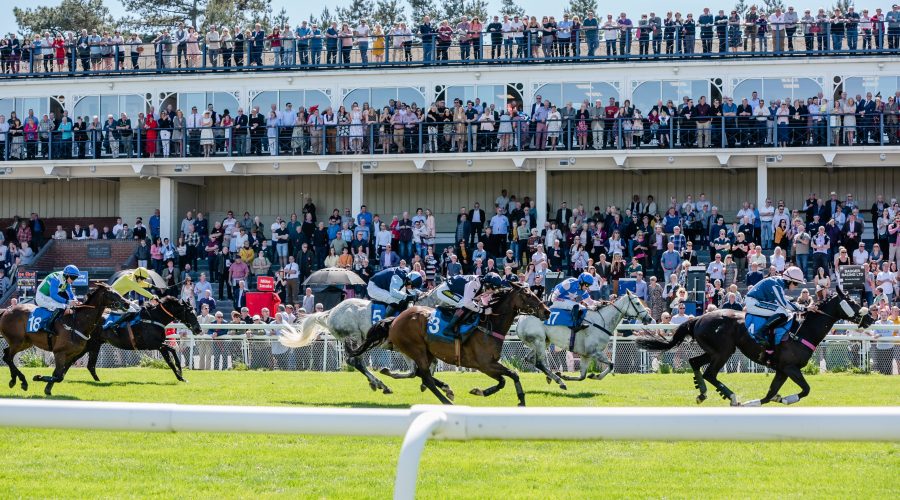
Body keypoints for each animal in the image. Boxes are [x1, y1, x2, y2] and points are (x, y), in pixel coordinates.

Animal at [0, 284, 130, 396]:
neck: (78, 322)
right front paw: (38, 377)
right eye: (111, 293)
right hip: (18, 341)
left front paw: (47, 389)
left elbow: (59, 375)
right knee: (7, 357)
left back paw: (14, 380)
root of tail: (6, 311)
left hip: (25, 342)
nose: (127, 304)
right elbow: (58, 376)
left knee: (7, 355)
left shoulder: (71, 355)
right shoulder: (59, 352)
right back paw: (23, 381)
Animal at [64, 296, 203, 382]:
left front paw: (180, 375)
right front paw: (180, 374)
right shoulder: (154, 344)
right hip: (90, 344)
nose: (199, 329)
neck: (155, 318)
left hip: (94, 344)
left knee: (88, 365)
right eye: (190, 313)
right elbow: (172, 354)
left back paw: (96, 380)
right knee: (77, 360)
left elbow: (171, 358)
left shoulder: (159, 345)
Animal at [350, 282, 548, 406]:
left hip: (427, 353)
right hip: (417, 350)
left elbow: (506, 379)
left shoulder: (489, 364)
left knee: (421, 375)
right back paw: (446, 400)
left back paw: (447, 389)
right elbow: (511, 375)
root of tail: (395, 319)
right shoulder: (484, 364)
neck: (489, 324)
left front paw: (484, 392)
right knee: (425, 378)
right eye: (527, 295)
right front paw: (517, 399)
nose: (546, 311)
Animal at [516, 292, 652, 388]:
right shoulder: (594, 351)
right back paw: (559, 381)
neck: (601, 321)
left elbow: (582, 376)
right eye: (637, 303)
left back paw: (551, 377)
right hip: (539, 340)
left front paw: (565, 375)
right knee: (539, 363)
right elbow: (611, 365)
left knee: (530, 359)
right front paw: (595, 376)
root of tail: (520, 320)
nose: (649, 318)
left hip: (544, 342)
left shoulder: (586, 355)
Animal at [636, 290, 876, 406]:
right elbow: (806, 389)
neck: (801, 330)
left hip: (714, 351)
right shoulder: (789, 367)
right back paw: (731, 397)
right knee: (710, 373)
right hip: (724, 351)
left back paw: (702, 393)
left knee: (695, 363)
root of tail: (698, 318)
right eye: (853, 303)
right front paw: (783, 399)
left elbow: (770, 394)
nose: (871, 318)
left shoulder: (782, 370)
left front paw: (770, 400)